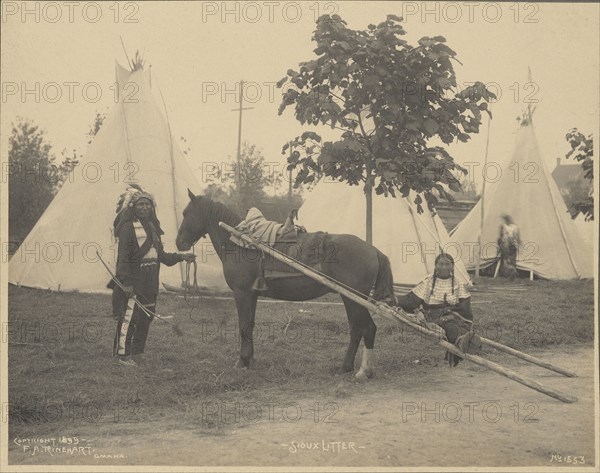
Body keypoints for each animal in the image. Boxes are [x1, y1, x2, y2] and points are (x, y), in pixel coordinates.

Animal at [176, 190, 396, 378]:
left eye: (186, 213)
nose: (179, 243)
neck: (240, 241)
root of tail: (374, 250)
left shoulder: (242, 293)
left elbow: (244, 327)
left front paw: (242, 362)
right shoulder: (252, 295)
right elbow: (250, 325)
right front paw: (250, 361)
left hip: (354, 299)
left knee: (366, 328)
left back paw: (362, 371)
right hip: (351, 298)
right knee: (357, 329)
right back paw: (347, 367)